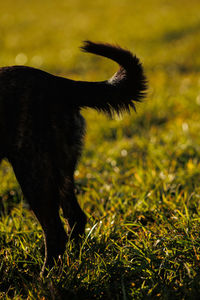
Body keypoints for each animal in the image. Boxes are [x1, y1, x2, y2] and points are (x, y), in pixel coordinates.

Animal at [0, 41, 147, 272]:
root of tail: (59, 83)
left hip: (33, 170)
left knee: (55, 232)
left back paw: (48, 275)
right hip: (60, 168)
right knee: (76, 217)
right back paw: (76, 260)